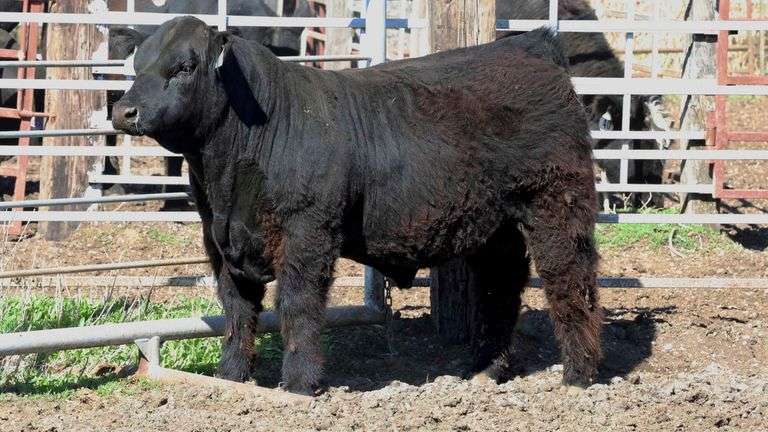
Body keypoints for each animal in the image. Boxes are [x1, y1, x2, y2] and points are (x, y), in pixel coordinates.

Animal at [112, 16, 602, 395]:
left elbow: (298, 304)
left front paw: (299, 384)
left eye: (184, 66)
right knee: (500, 288)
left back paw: (578, 374)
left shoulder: (307, 231)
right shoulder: (219, 240)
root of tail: (529, 46)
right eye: (136, 65)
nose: (124, 111)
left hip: (556, 205)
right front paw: (231, 376)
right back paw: (485, 369)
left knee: (569, 281)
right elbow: (237, 311)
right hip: (495, 227)